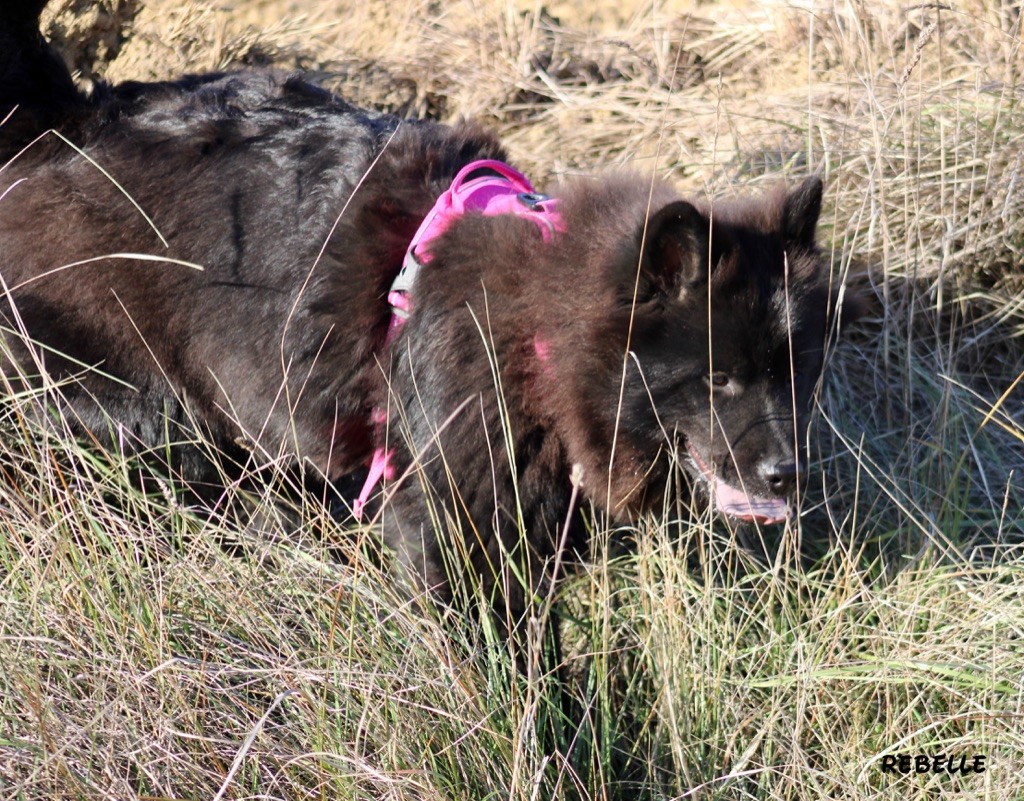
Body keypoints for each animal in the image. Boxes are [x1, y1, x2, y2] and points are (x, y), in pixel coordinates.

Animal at [2, 3, 856, 635]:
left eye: (796, 373)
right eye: (720, 379)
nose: (789, 475)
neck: (533, 325)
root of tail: (67, 127)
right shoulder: (440, 514)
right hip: (146, 407)